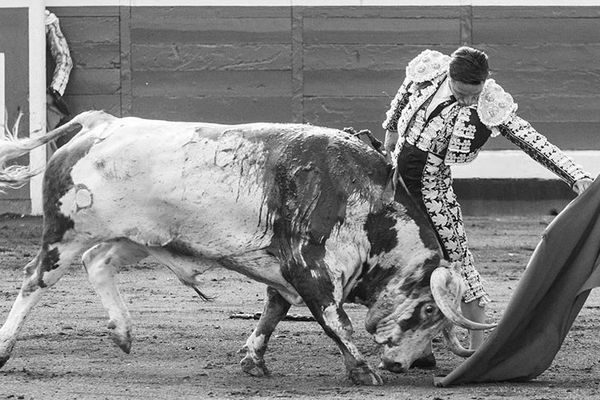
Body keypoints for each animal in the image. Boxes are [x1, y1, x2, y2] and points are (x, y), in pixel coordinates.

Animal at [0, 111, 494, 384]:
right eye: (428, 310)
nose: (400, 366)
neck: (366, 199)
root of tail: (102, 123)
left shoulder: (284, 272)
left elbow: (273, 311)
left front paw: (253, 360)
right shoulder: (310, 270)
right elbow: (336, 321)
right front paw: (362, 370)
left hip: (137, 236)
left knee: (97, 262)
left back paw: (122, 332)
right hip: (66, 232)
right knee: (34, 278)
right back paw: (6, 347)